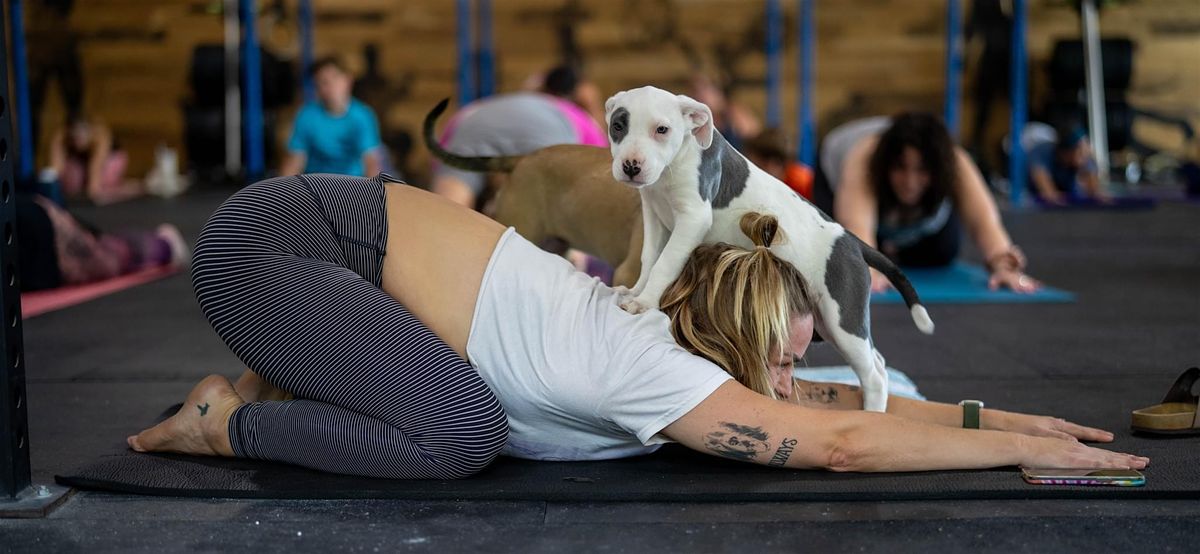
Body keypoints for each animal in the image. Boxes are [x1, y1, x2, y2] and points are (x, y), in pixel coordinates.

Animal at [604, 85, 931, 410]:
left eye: (662, 130)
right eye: (618, 126)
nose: (631, 166)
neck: (676, 161)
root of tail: (853, 243)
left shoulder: (693, 217)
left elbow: (666, 262)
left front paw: (644, 302)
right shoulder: (654, 215)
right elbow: (650, 258)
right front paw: (636, 292)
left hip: (843, 315)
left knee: (875, 374)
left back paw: (873, 410)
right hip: (828, 320)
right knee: (878, 361)